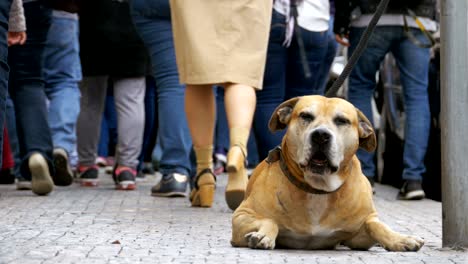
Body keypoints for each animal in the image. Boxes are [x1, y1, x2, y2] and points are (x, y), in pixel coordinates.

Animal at [230, 96, 424, 251]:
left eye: (342, 121)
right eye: (306, 116)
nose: (321, 135)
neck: (318, 189)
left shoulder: (356, 236)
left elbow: (374, 225)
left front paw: (399, 239)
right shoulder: (242, 215)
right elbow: (270, 221)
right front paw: (263, 235)